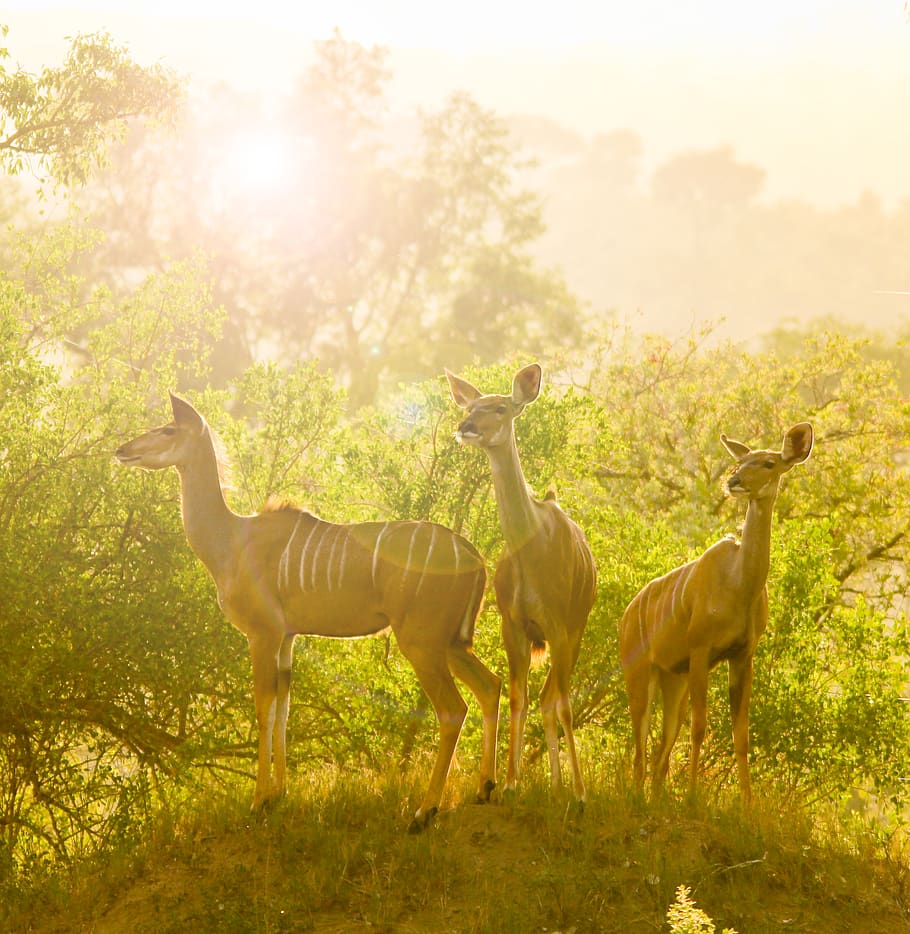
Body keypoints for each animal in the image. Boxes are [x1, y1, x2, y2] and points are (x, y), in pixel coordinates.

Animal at [115, 394, 502, 832]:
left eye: (168, 429)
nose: (123, 450)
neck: (230, 540)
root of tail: (475, 557)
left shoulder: (262, 634)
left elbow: (263, 706)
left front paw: (258, 801)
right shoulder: (287, 638)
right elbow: (284, 706)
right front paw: (277, 795)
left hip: (421, 643)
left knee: (454, 709)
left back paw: (424, 811)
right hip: (452, 642)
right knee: (491, 686)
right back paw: (485, 788)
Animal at [448, 364, 600, 804]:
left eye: (500, 407)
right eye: (471, 406)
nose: (465, 427)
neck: (531, 551)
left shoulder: (559, 624)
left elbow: (563, 703)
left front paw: (580, 791)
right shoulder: (512, 623)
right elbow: (519, 696)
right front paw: (511, 782)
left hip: (577, 626)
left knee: (557, 697)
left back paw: (566, 786)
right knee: (544, 697)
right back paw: (553, 783)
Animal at [624, 420, 816, 800]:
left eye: (769, 463)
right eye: (742, 461)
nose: (734, 480)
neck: (740, 586)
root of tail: (626, 615)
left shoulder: (742, 654)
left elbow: (740, 734)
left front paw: (747, 804)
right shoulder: (701, 649)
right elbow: (699, 727)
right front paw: (693, 798)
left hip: (673, 678)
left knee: (661, 746)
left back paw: (654, 799)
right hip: (640, 673)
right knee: (640, 741)